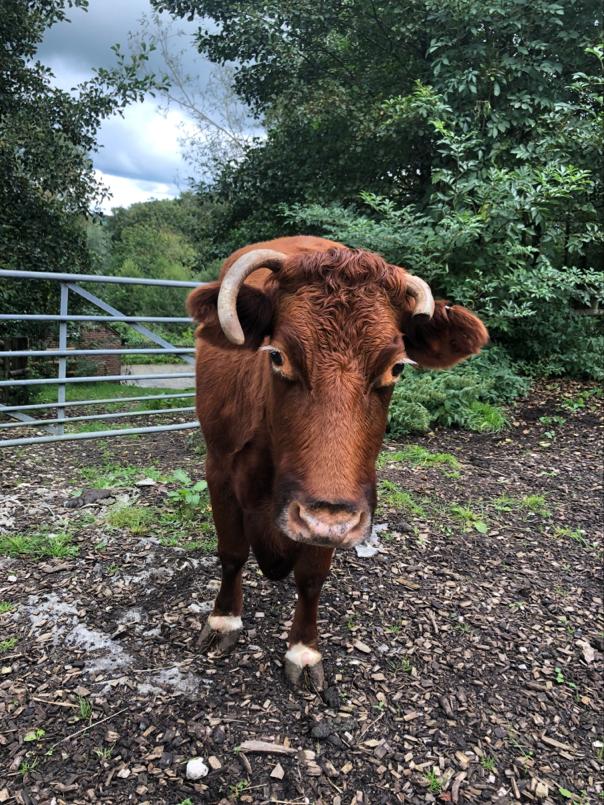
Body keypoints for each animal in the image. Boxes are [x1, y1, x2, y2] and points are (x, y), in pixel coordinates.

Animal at [187, 235, 488, 689]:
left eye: (396, 368)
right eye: (278, 357)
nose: (326, 520)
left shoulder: (337, 508)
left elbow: (311, 578)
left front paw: (304, 650)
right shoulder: (219, 469)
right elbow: (232, 552)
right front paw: (224, 620)